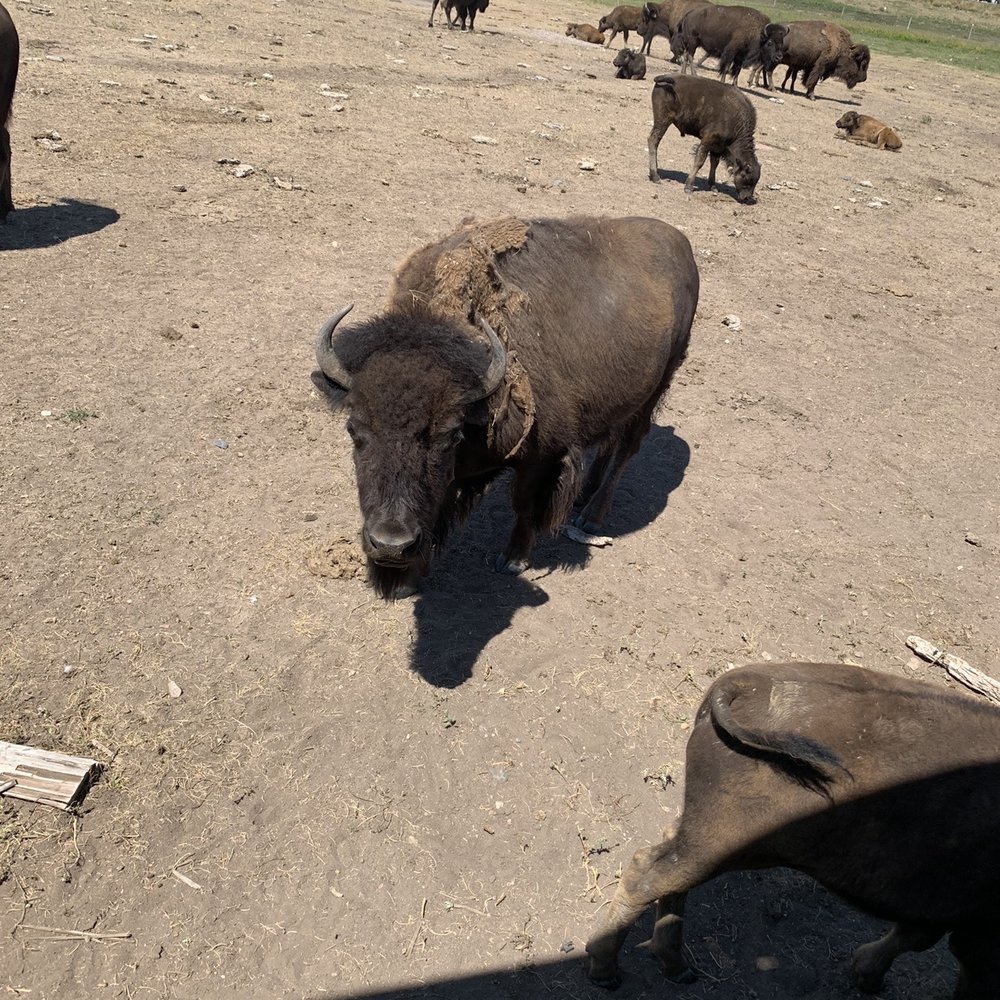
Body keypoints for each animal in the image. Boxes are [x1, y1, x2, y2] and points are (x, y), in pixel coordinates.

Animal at [311, 215, 699, 599]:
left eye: (450, 435)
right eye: (354, 429)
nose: (391, 545)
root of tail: (681, 244)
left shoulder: (541, 456)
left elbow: (523, 505)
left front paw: (513, 560)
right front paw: (409, 580)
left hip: (658, 387)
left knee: (625, 451)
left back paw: (591, 517)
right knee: (608, 443)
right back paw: (583, 498)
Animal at [587, 661, 1000, 998]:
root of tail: (747, 683)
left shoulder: (942, 913)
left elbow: (913, 937)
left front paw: (867, 975)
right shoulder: (976, 936)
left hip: (721, 841)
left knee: (666, 863)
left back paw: (676, 967)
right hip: (721, 843)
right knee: (648, 875)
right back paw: (605, 972)